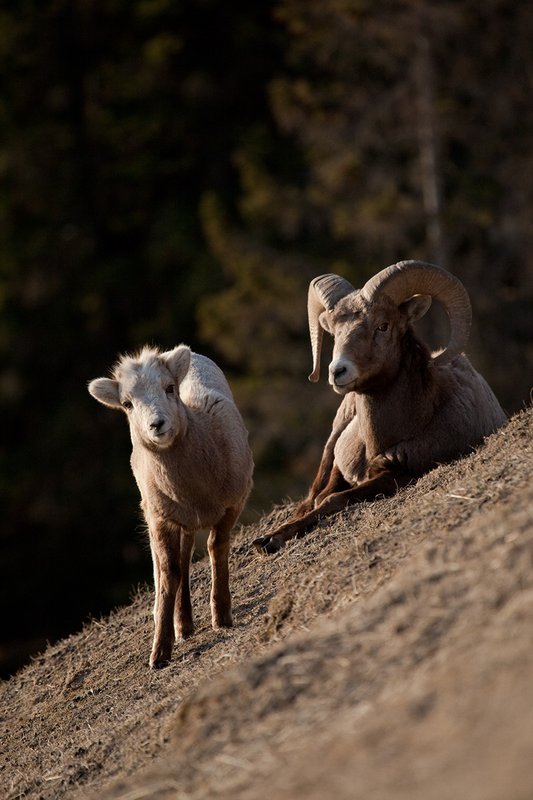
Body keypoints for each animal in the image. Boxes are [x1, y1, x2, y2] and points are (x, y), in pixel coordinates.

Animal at [89, 345, 253, 668]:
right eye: (127, 404)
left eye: (169, 388)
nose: (157, 425)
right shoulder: (160, 520)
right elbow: (169, 574)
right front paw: (160, 654)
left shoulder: (234, 504)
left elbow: (216, 547)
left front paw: (222, 617)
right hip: (170, 520)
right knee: (179, 563)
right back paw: (183, 626)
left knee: (188, 555)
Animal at [254, 260, 506, 554]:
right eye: (334, 332)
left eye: (383, 326)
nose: (337, 371)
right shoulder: (344, 466)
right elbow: (321, 497)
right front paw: (268, 539)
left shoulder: (397, 476)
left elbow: (331, 500)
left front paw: (271, 540)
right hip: (333, 438)